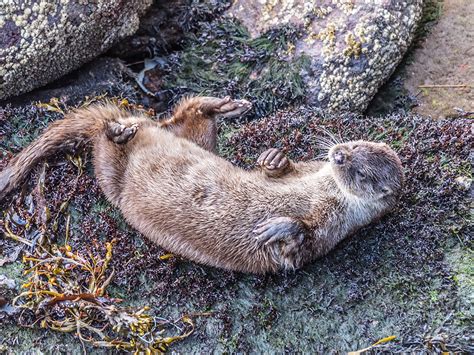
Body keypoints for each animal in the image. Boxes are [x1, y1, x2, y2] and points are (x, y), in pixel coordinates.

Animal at [0, 97, 404, 276]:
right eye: (355, 144)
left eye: (362, 172)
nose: (338, 154)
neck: (322, 189)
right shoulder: (306, 170)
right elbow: (276, 171)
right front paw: (274, 157)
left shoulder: (332, 228)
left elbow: (302, 241)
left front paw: (278, 227)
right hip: (183, 136)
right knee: (180, 115)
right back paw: (226, 105)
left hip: (114, 178)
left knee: (109, 143)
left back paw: (118, 131)